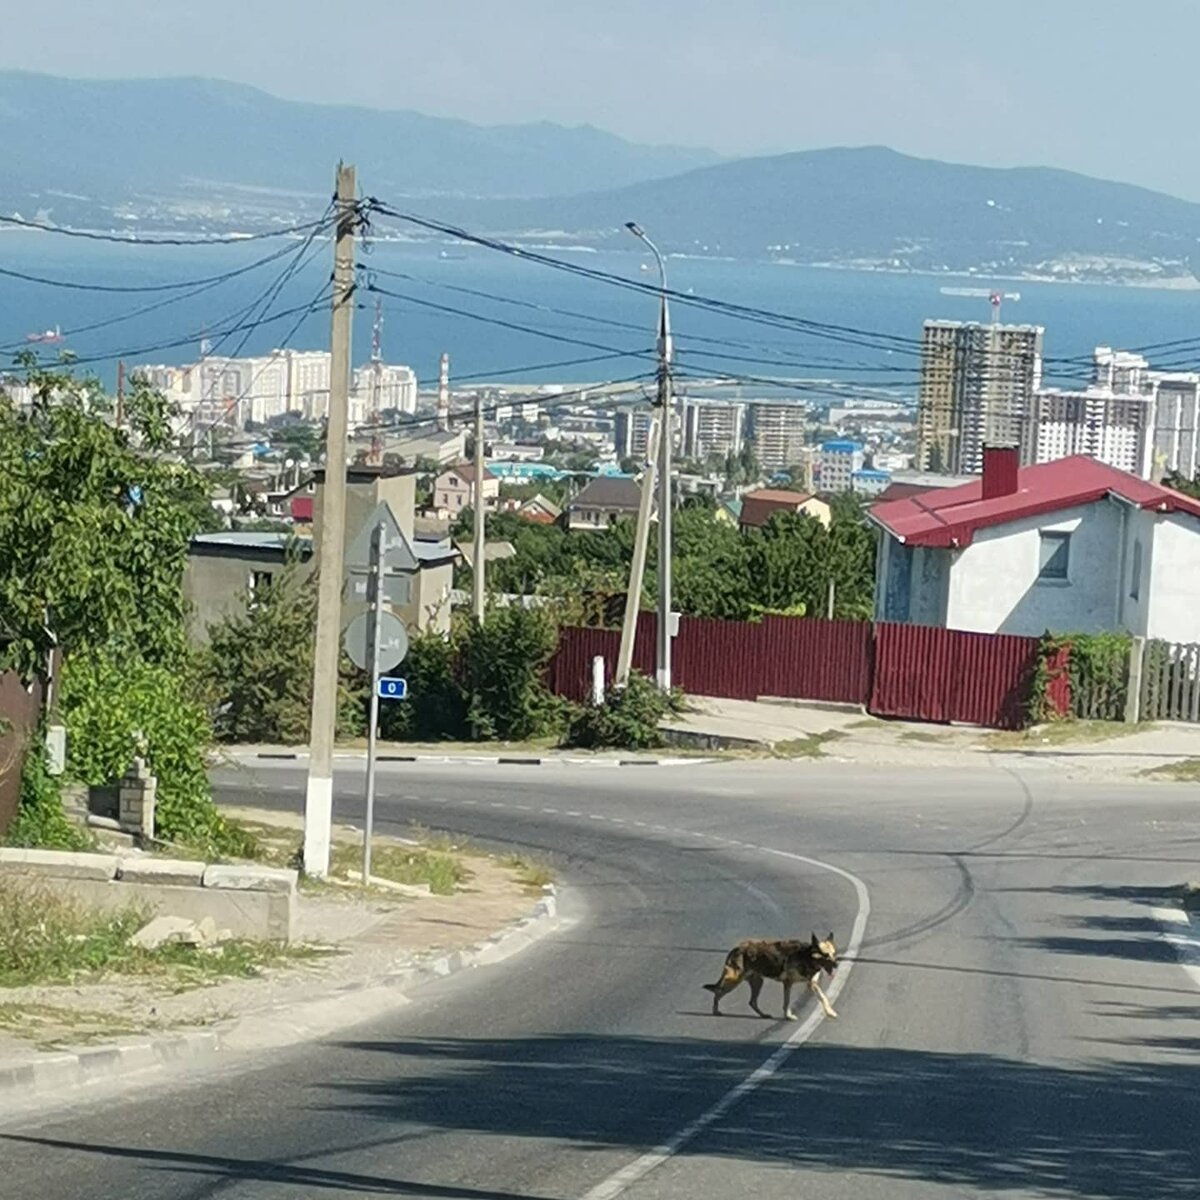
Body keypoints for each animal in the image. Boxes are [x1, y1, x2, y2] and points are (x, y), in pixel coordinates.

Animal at [700, 931, 840, 1017]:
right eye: (825, 955)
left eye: (834, 954)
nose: (837, 965)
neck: (807, 956)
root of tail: (737, 948)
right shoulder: (788, 983)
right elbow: (787, 1002)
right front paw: (788, 1015)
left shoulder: (811, 984)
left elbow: (822, 997)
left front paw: (830, 1012)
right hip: (733, 980)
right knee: (718, 993)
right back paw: (715, 1010)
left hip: (757, 983)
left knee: (752, 1002)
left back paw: (763, 1015)